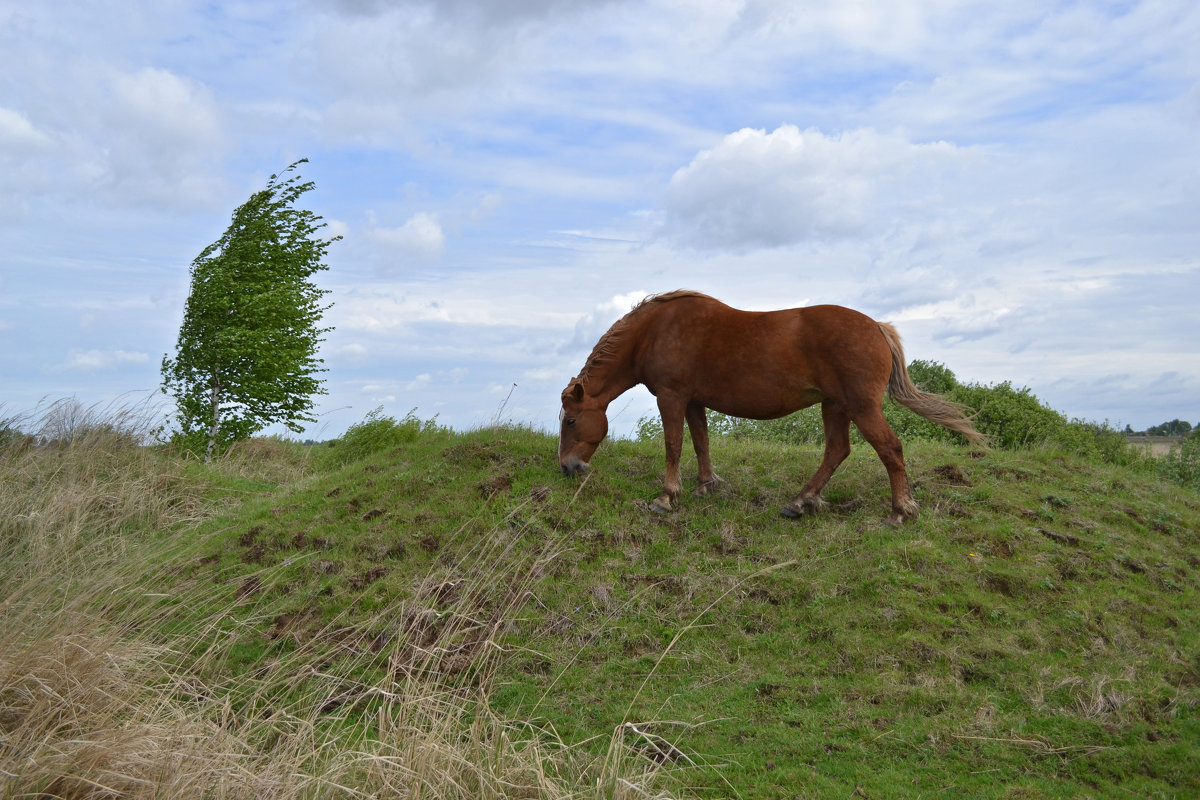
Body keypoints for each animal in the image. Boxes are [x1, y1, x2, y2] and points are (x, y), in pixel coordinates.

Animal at [556, 289, 988, 525]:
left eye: (572, 420)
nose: (568, 468)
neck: (655, 331)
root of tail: (878, 328)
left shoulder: (672, 396)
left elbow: (674, 445)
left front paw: (666, 497)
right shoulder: (693, 400)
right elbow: (700, 443)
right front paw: (705, 486)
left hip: (861, 407)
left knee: (890, 449)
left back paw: (899, 510)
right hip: (835, 406)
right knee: (837, 450)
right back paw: (800, 502)